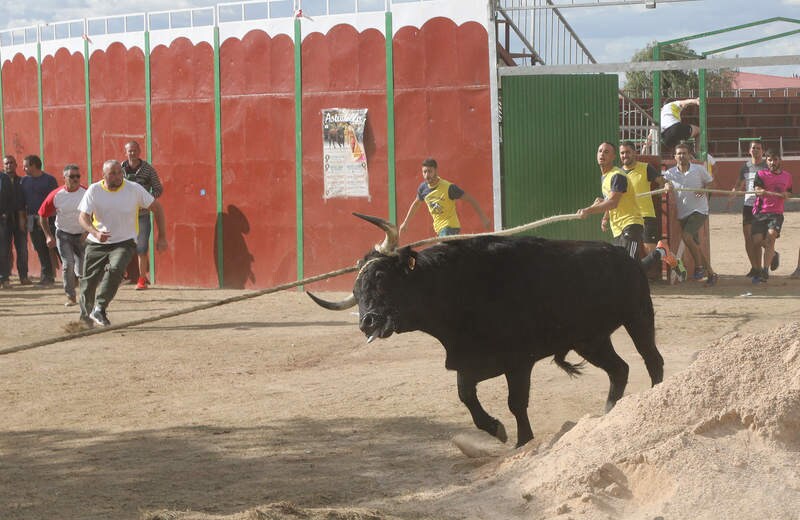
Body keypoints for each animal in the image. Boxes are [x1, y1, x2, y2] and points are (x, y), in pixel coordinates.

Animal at [310, 213, 664, 448]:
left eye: (382, 278)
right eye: (356, 291)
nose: (366, 322)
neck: (457, 289)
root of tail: (626, 256)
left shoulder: (519, 362)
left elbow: (516, 403)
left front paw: (523, 441)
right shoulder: (468, 361)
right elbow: (466, 396)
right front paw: (495, 428)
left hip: (638, 317)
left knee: (651, 360)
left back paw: (654, 397)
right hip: (590, 340)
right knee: (619, 369)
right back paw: (609, 412)